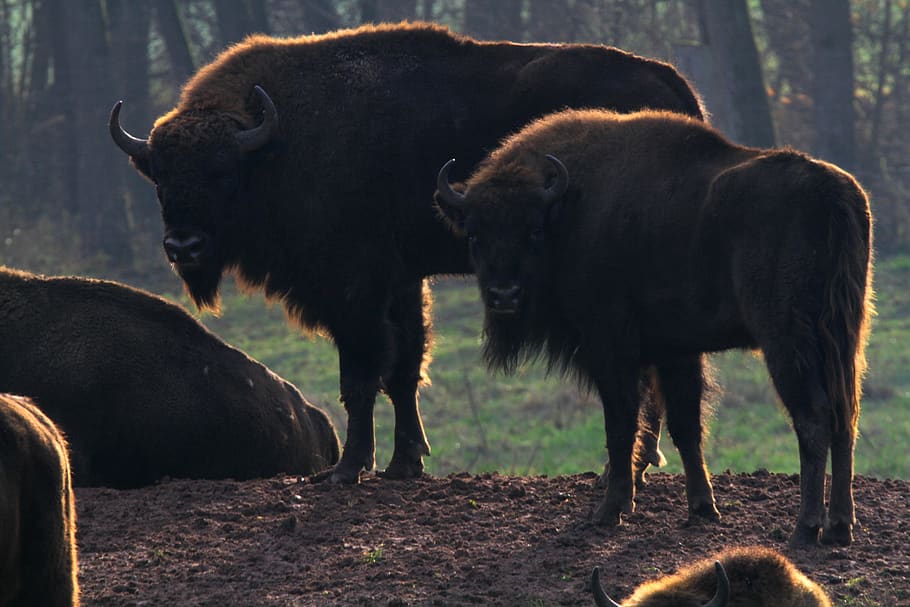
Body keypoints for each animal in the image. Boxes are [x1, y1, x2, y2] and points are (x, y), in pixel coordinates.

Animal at [109, 21, 704, 483]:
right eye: (160, 179)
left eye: (222, 174)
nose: (183, 245)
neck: (278, 143)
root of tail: (671, 84)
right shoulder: (400, 281)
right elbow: (404, 369)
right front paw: (404, 463)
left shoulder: (354, 289)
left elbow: (362, 374)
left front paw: (348, 470)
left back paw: (628, 466)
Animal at [435, 108, 873, 546]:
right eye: (474, 235)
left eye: (534, 231)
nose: (504, 295)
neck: (569, 208)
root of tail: (832, 192)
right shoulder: (675, 351)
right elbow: (686, 426)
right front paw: (702, 508)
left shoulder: (611, 346)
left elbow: (622, 423)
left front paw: (610, 510)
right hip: (844, 338)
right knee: (845, 416)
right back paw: (839, 527)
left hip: (786, 340)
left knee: (813, 416)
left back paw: (806, 527)